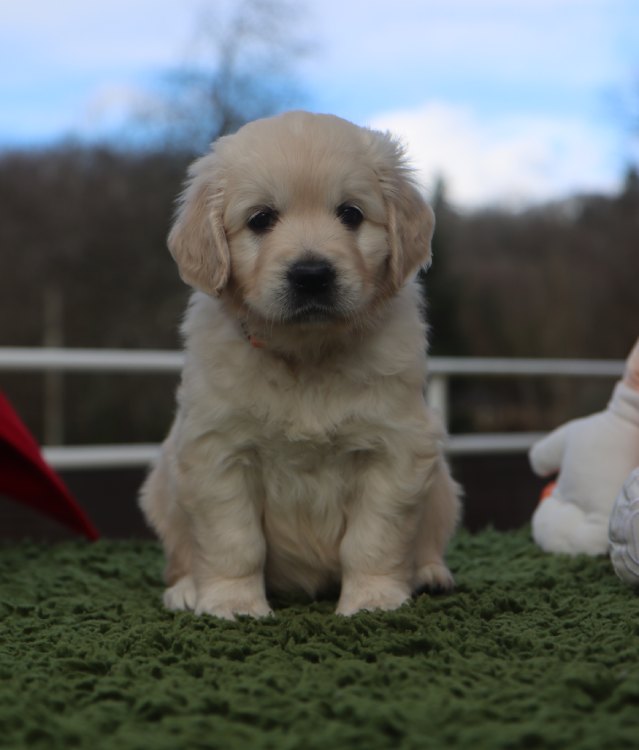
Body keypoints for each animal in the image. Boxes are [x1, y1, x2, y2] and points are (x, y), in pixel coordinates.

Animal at [139, 111, 461, 619]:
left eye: (351, 214)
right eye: (261, 219)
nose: (311, 275)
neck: (307, 355)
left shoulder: (397, 449)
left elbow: (373, 538)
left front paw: (372, 600)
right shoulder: (216, 452)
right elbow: (235, 542)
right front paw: (233, 603)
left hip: (443, 489)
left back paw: (429, 573)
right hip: (161, 489)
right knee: (181, 554)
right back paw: (187, 589)